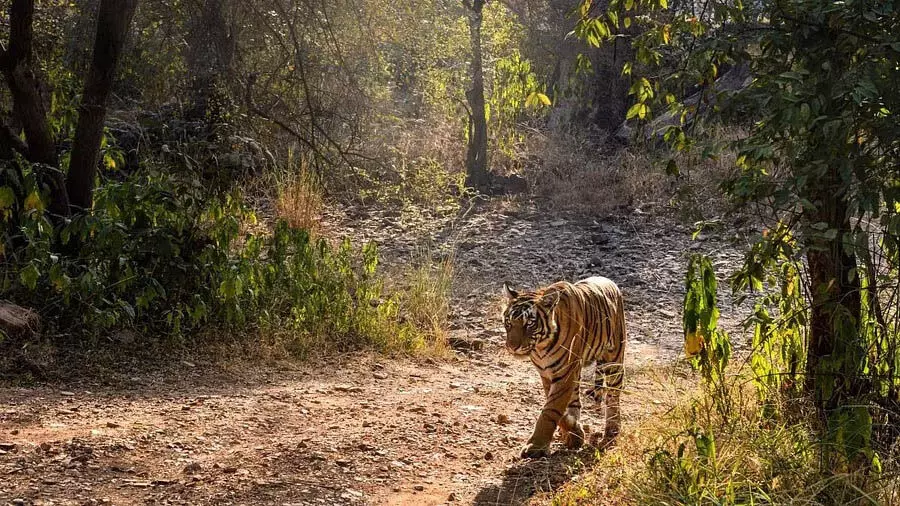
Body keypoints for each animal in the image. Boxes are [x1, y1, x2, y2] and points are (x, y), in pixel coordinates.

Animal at [500, 276, 624, 458]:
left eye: (529, 323)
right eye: (508, 322)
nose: (512, 347)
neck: (540, 347)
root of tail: (610, 282)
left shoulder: (564, 373)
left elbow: (550, 410)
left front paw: (535, 446)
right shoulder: (547, 375)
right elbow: (556, 408)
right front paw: (574, 432)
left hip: (614, 360)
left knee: (613, 397)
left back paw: (611, 431)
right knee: (576, 401)